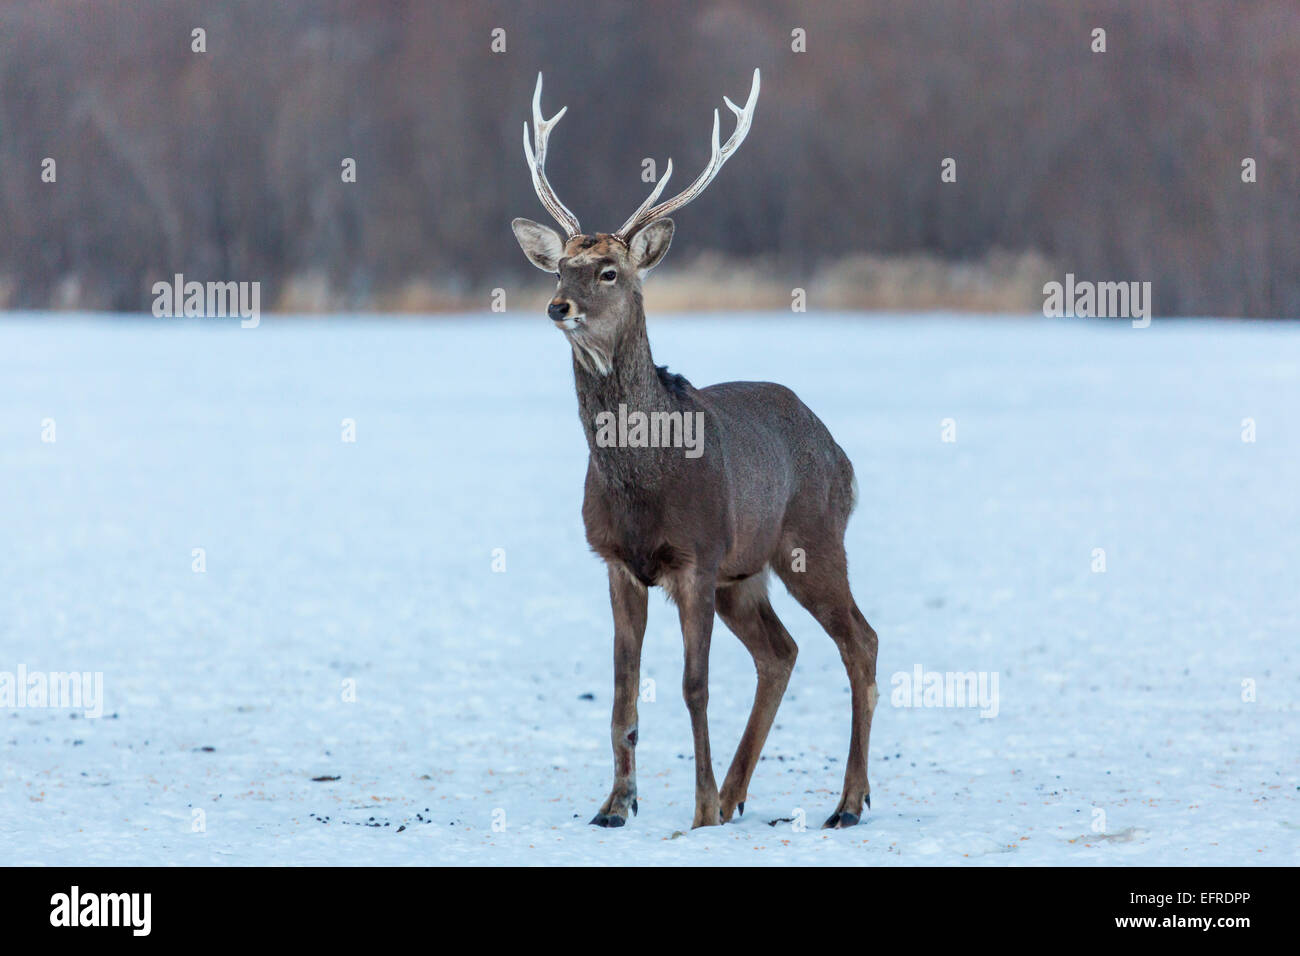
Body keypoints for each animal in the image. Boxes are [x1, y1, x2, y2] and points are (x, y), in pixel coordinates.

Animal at [512, 69, 878, 832]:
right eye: (560, 267)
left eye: (610, 271)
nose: (558, 306)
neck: (641, 482)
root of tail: (842, 456)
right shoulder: (616, 561)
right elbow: (622, 691)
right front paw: (615, 806)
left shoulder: (698, 558)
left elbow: (693, 686)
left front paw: (700, 809)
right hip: (748, 574)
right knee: (782, 653)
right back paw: (744, 794)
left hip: (811, 539)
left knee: (859, 642)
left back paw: (845, 802)